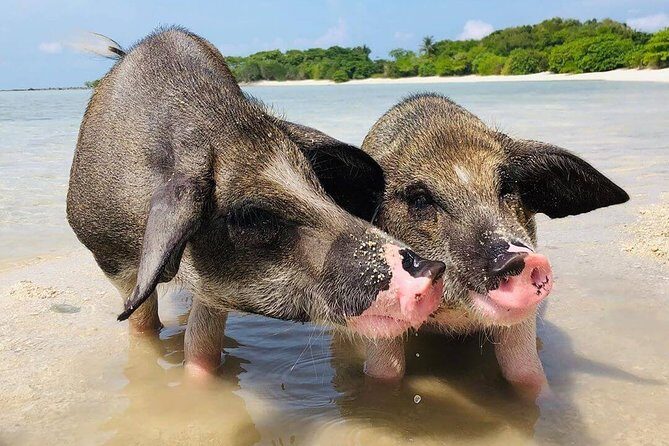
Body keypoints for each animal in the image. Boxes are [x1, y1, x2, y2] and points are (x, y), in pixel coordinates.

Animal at [66, 28, 446, 377]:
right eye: (252, 217)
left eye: (317, 183)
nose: (432, 268)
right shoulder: (109, 258)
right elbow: (142, 322)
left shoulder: (214, 289)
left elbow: (201, 341)